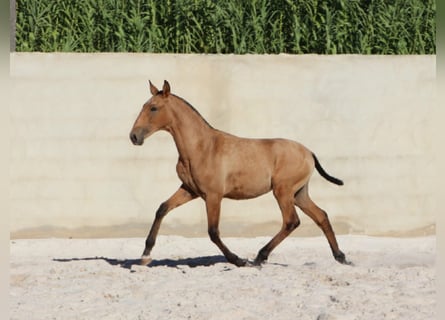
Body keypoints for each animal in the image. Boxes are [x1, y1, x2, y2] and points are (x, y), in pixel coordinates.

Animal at [128, 80, 346, 268]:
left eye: (153, 108)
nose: (134, 136)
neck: (201, 147)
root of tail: (309, 152)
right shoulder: (190, 190)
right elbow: (162, 209)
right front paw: (145, 255)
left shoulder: (213, 196)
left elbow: (213, 232)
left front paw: (238, 260)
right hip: (299, 193)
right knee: (321, 216)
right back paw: (341, 257)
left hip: (283, 191)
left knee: (291, 221)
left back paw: (259, 257)